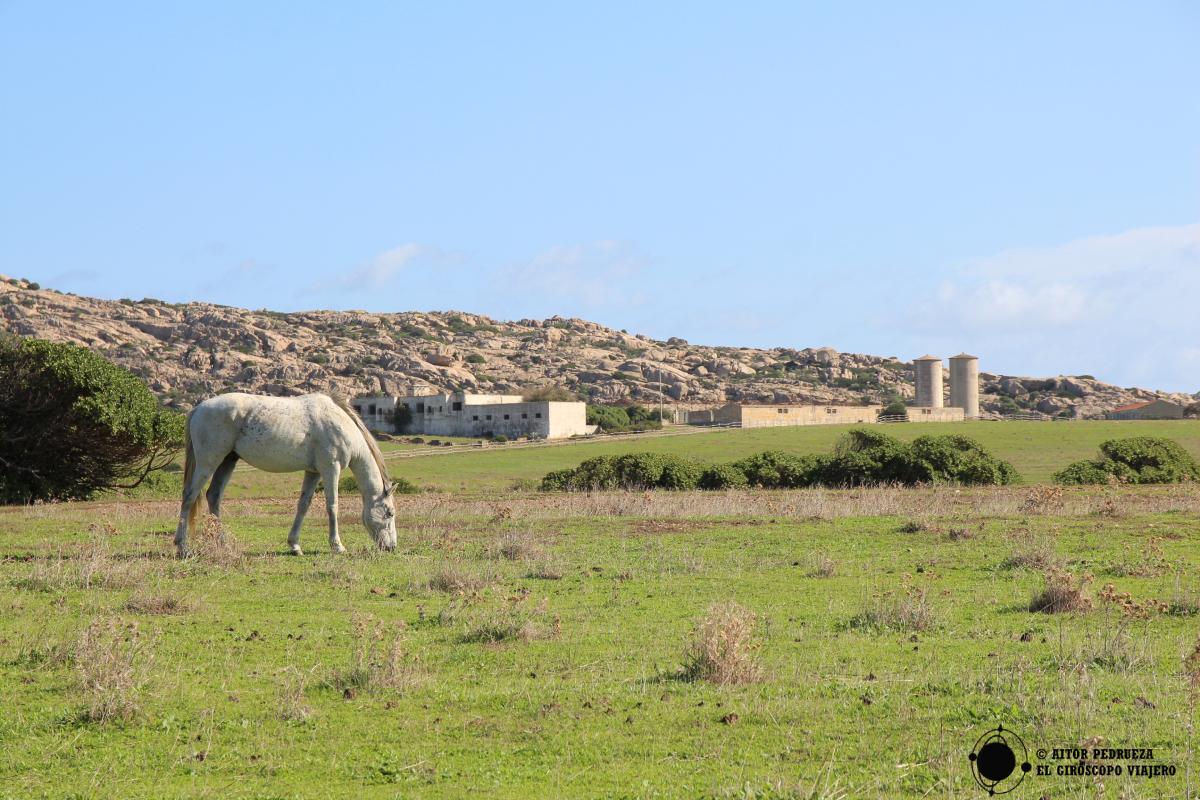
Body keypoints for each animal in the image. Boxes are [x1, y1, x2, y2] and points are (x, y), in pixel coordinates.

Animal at [175, 393, 398, 556]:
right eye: (389, 513)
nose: (392, 547)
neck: (340, 424)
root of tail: (198, 408)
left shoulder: (313, 472)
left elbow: (303, 505)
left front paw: (294, 545)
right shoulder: (330, 469)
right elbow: (333, 506)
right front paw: (337, 546)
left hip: (227, 461)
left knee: (213, 496)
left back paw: (221, 542)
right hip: (208, 462)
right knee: (189, 496)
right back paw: (182, 546)